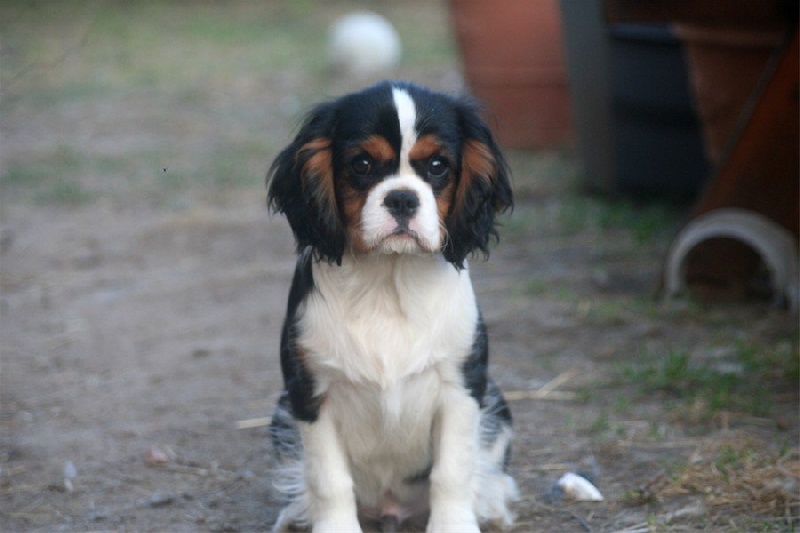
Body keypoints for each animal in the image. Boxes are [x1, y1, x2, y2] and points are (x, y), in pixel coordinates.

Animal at [268, 80, 520, 532]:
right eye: (362, 164)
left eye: (437, 165)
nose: (402, 199)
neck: (389, 279)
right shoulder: (309, 391)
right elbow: (327, 478)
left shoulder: (461, 385)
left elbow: (452, 471)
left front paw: (453, 526)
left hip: (496, 403)